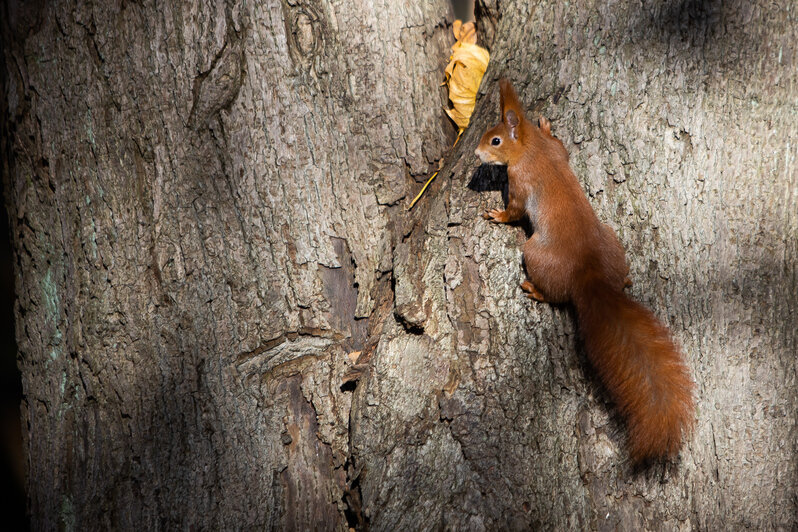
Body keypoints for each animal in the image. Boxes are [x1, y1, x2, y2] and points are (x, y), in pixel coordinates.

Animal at [478, 78, 696, 462]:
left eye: (495, 141)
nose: (476, 153)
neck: (531, 148)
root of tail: (590, 275)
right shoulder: (555, 151)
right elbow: (562, 147)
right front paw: (547, 125)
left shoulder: (520, 182)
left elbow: (514, 211)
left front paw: (497, 215)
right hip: (612, 241)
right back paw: (625, 279)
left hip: (534, 254)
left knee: (555, 294)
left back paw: (535, 289)